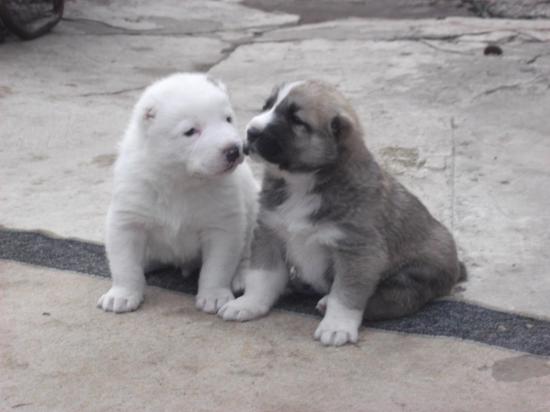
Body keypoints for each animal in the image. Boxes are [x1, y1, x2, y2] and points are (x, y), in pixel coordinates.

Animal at [97, 73, 258, 314]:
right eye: (190, 131)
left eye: (228, 119)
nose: (233, 150)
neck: (181, 181)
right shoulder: (129, 213)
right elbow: (125, 260)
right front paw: (122, 295)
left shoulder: (223, 222)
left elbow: (218, 264)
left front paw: (214, 296)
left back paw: (241, 276)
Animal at [218, 80, 465, 346]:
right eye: (268, 105)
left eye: (296, 120)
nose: (251, 132)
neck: (302, 183)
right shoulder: (270, 233)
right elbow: (261, 277)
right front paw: (249, 303)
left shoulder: (357, 251)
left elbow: (346, 293)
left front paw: (337, 326)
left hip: (413, 276)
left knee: (391, 299)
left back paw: (326, 304)